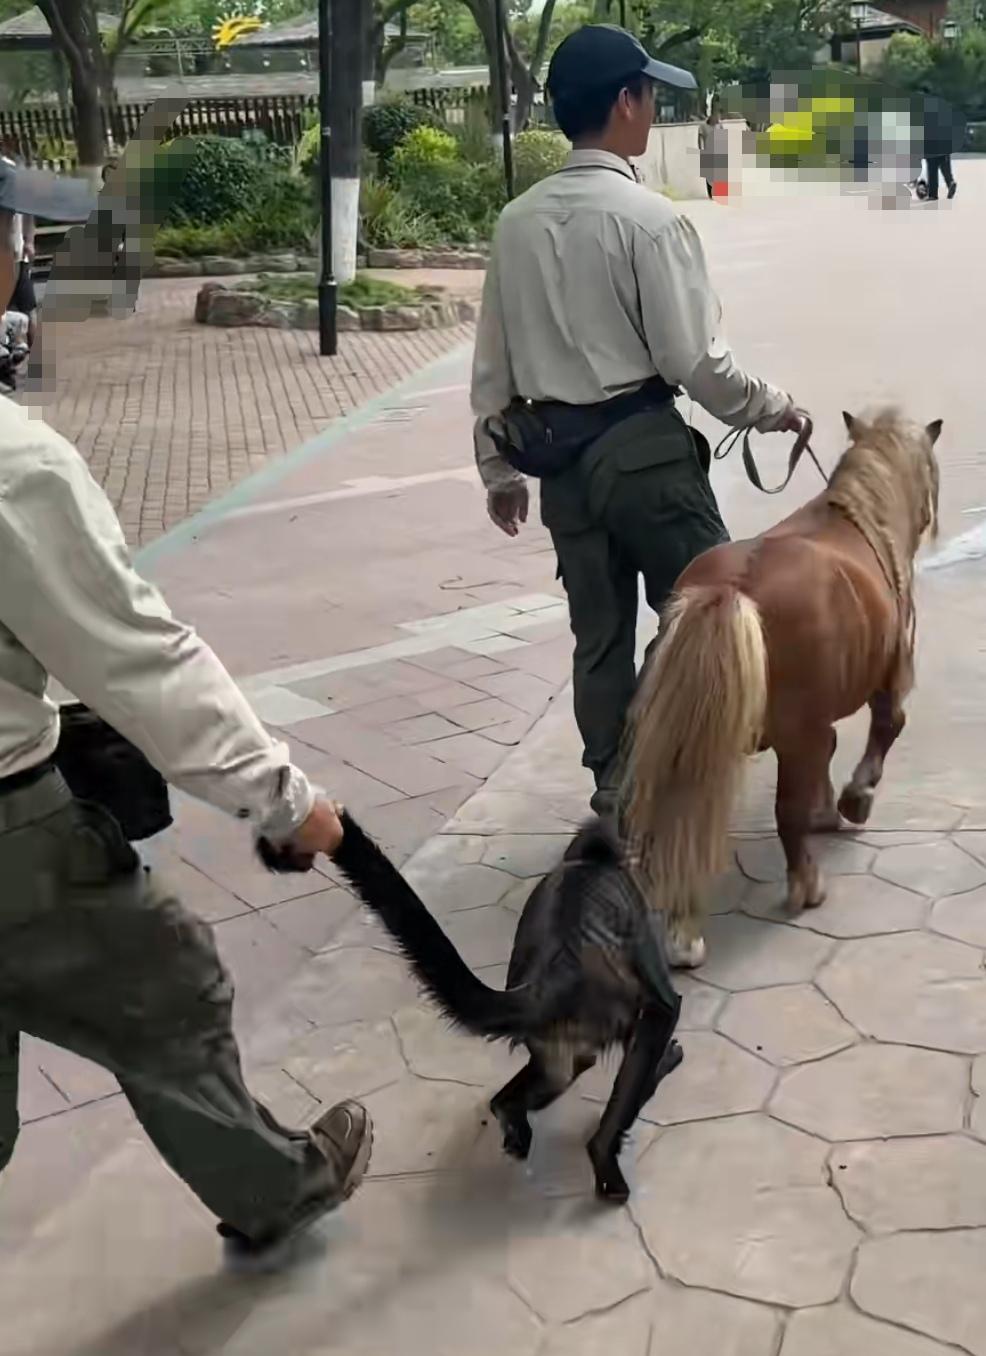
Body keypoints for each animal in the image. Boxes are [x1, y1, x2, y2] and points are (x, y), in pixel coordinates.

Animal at [623, 408, 941, 969]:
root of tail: (731, 590)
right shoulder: (889, 677)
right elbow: (886, 728)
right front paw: (854, 800)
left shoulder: (815, 721)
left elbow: (828, 756)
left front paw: (827, 810)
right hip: (791, 733)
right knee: (785, 813)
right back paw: (806, 886)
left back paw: (683, 933)